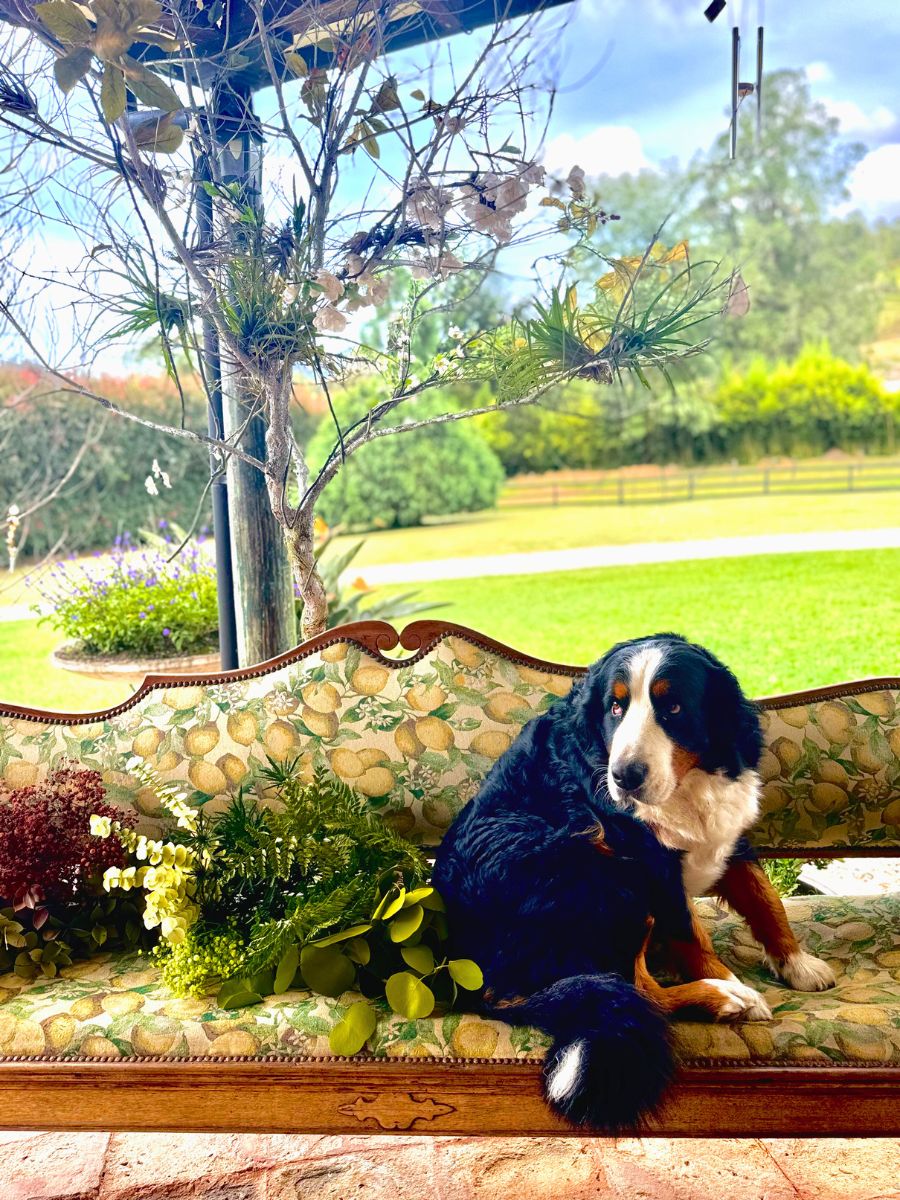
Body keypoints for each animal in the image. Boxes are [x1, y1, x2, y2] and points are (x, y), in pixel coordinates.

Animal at [434, 638, 840, 1132]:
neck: (686, 786)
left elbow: (765, 898)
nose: (625, 776)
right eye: (615, 707)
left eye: (673, 707)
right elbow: (692, 933)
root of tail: (481, 986)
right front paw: (730, 981)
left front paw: (797, 963)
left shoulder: (728, 837)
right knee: (640, 990)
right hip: (604, 874)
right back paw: (726, 997)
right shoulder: (652, 862)